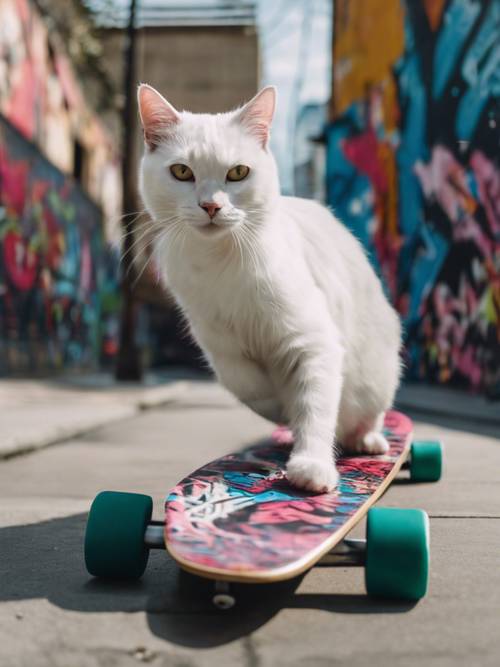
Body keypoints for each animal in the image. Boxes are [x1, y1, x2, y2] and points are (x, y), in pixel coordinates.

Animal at [137, 83, 402, 494]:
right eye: (181, 172)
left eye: (238, 172)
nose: (210, 206)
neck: (220, 260)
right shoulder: (218, 345)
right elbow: (251, 386)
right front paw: (280, 404)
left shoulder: (314, 341)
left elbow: (314, 405)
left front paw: (312, 466)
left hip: (378, 373)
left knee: (368, 412)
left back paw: (367, 440)